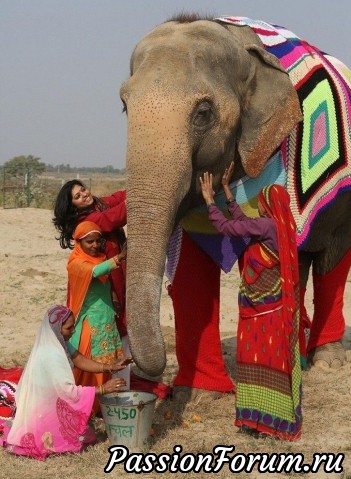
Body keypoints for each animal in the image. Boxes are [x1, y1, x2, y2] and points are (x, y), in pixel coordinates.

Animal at [121, 15, 351, 390]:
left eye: (203, 113)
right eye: (125, 105)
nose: (150, 373)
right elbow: (190, 267)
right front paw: (204, 391)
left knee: (333, 258)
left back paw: (326, 362)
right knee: (301, 261)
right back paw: (299, 355)